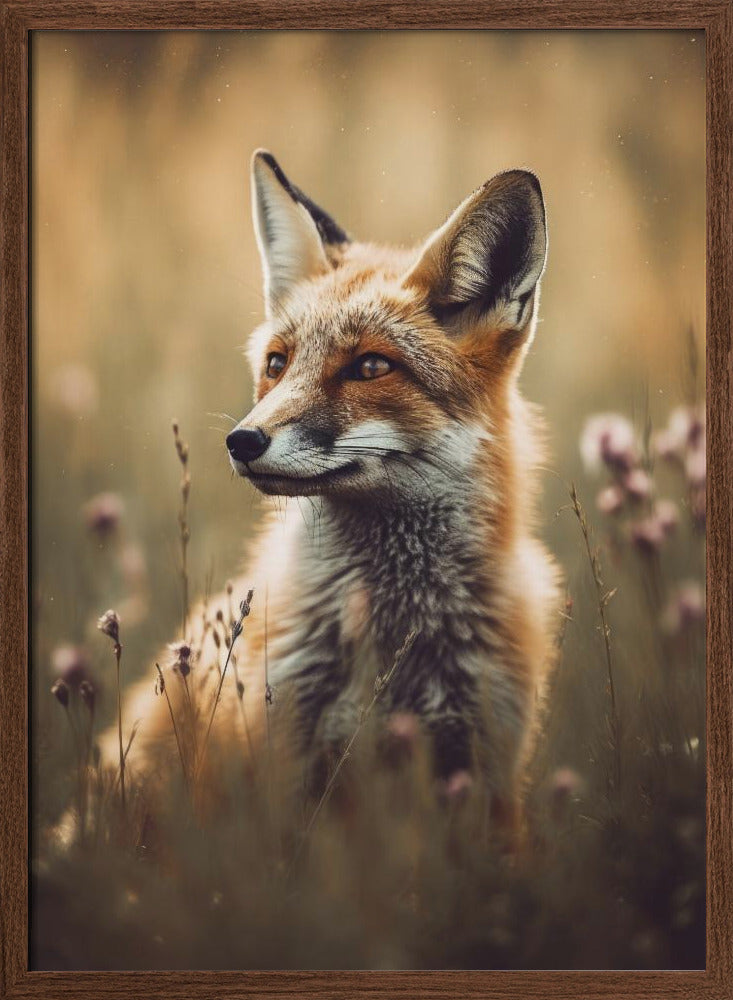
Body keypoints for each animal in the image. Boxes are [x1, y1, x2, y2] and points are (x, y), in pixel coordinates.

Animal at [102, 150, 561, 838]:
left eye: (371, 367)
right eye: (277, 363)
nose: (241, 440)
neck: (394, 641)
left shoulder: (485, 771)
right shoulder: (283, 764)